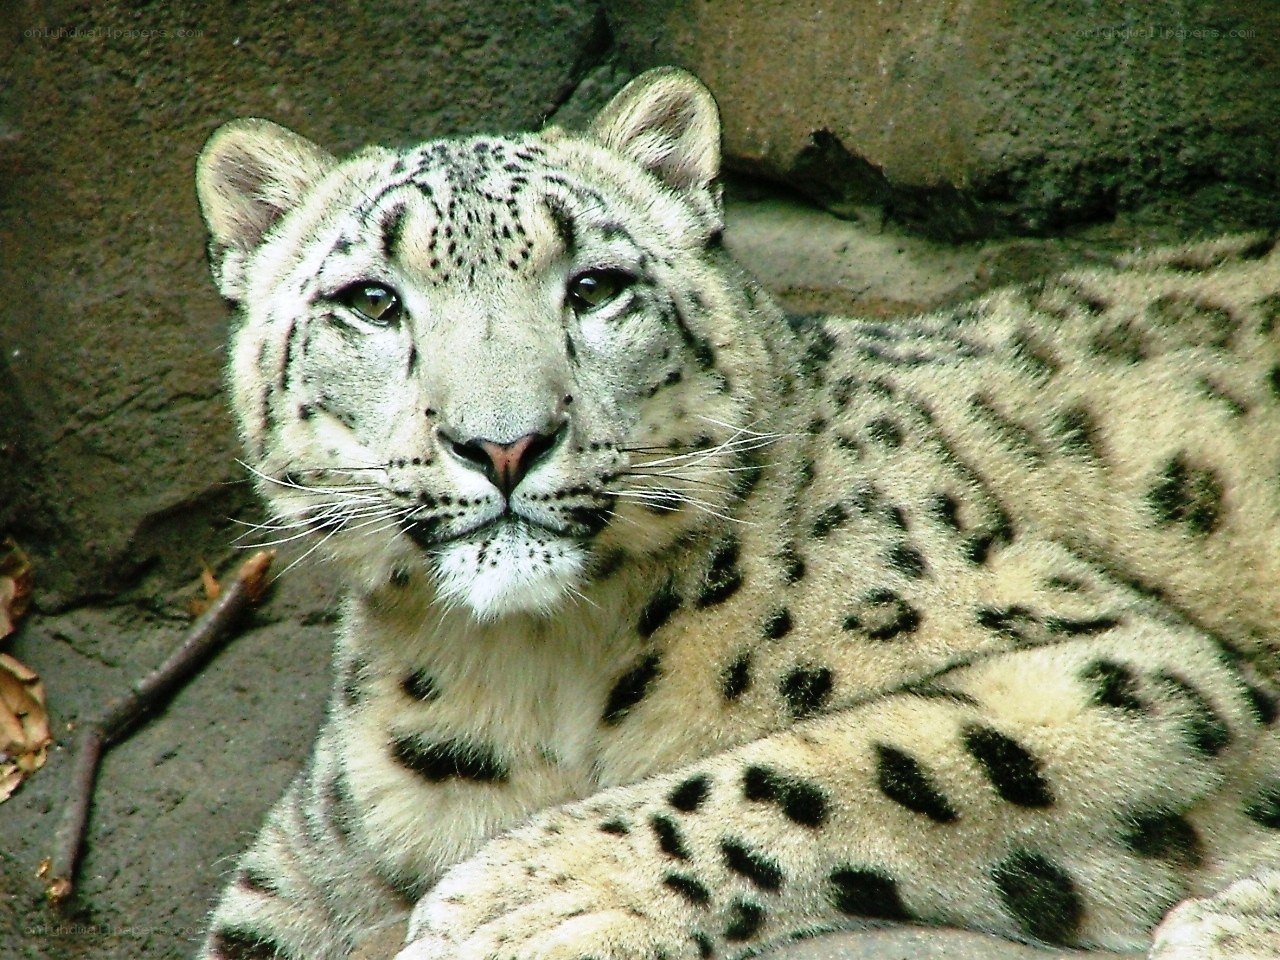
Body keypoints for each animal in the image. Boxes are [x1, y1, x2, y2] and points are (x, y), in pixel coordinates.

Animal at [192, 67, 1280, 960]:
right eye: (370, 301)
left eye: (595, 287)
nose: (503, 443)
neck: (527, 669)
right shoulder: (312, 864)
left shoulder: (1137, 670)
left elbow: (854, 760)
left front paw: (531, 896)